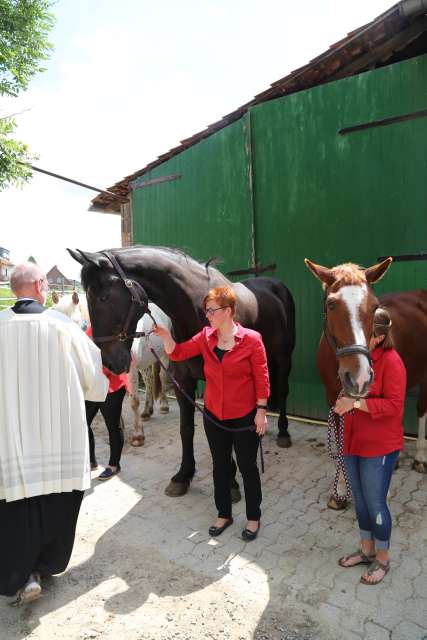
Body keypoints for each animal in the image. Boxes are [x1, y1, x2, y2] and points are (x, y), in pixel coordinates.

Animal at [306, 258, 426, 508]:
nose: (359, 376)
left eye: (374, 305)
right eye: (331, 304)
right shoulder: (333, 399)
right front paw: (341, 490)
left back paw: (420, 457)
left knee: (421, 410)